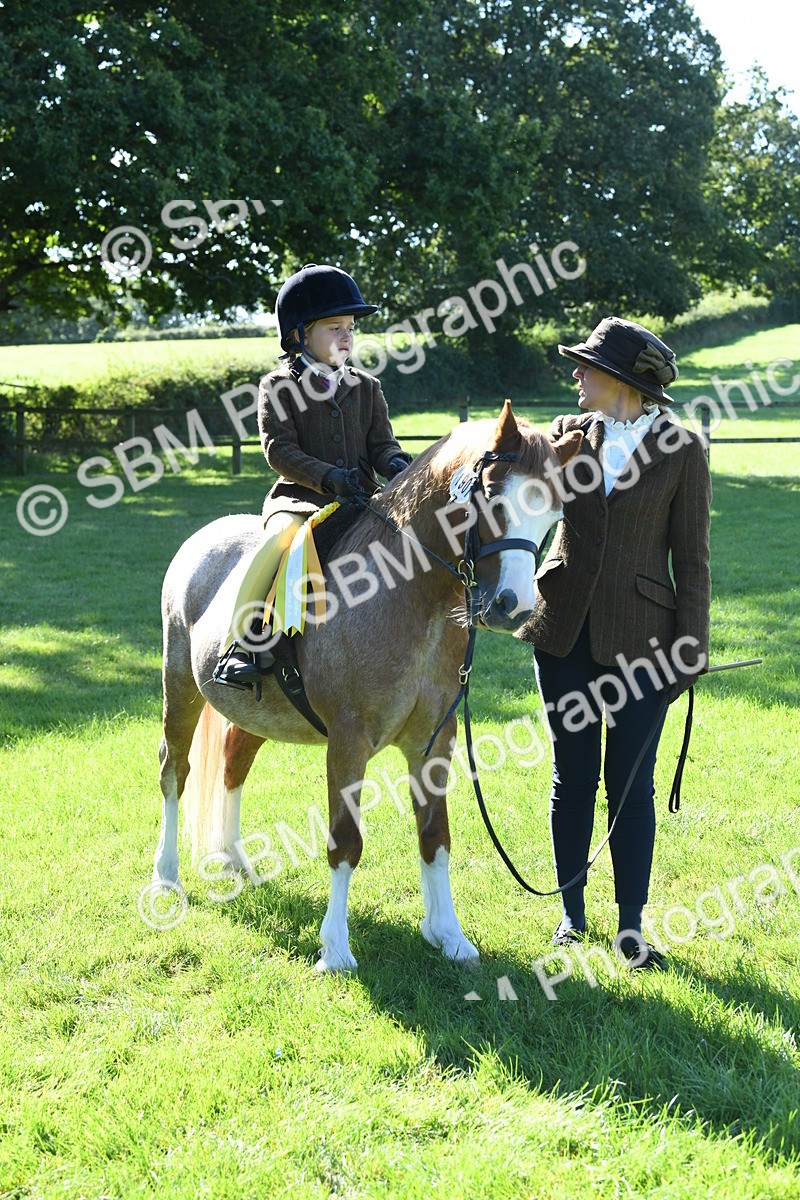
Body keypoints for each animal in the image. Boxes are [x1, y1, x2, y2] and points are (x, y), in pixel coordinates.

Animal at [153, 400, 582, 970]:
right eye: (493, 497)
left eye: (552, 514)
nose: (514, 608)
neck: (413, 599)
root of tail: (202, 540)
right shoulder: (348, 742)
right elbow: (345, 842)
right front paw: (335, 948)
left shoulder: (433, 744)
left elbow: (436, 837)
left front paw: (448, 935)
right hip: (180, 686)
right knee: (174, 772)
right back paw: (166, 879)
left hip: (254, 713)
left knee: (232, 765)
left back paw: (234, 861)